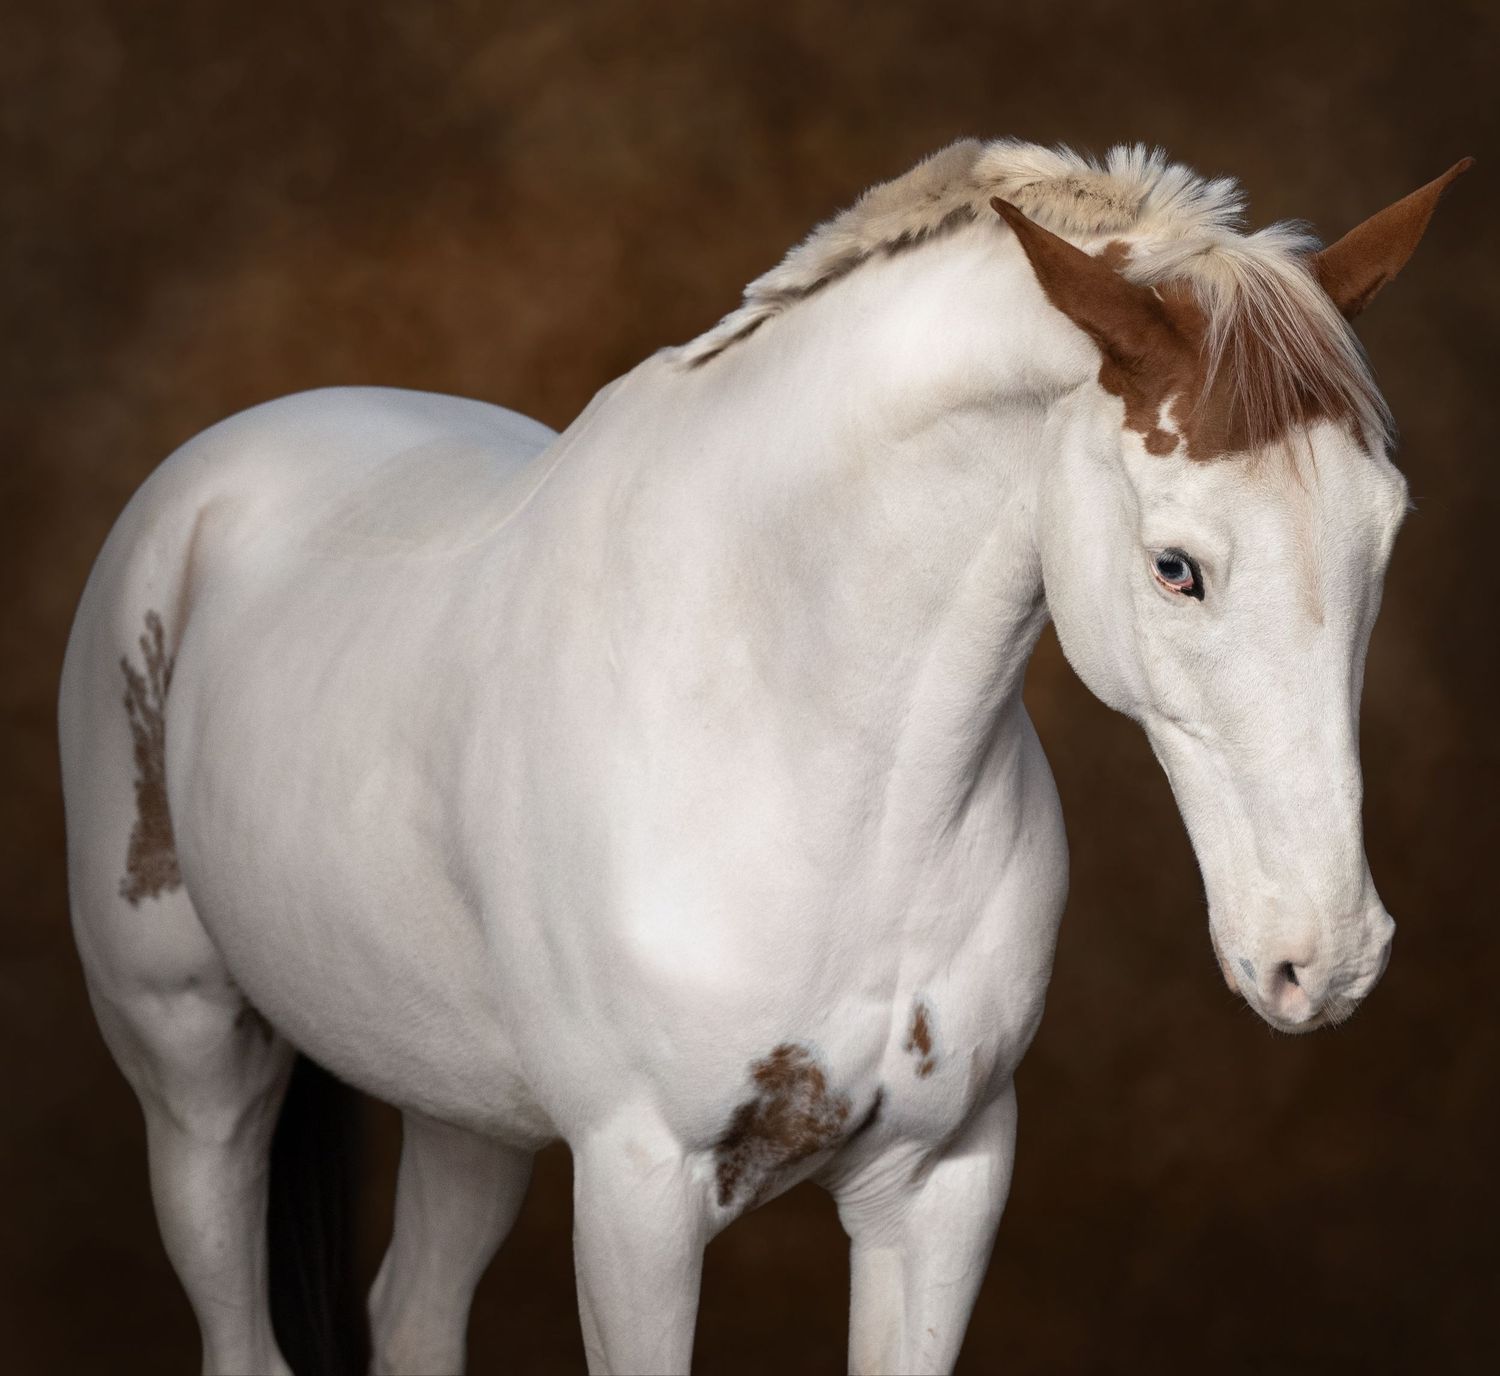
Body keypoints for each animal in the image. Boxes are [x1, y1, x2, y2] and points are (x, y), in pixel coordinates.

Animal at [59, 139, 1468, 1375]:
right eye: (1178, 565)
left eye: (1389, 531)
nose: (1329, 955)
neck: (810, 742)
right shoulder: (637, 1195)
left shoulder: (945, 1183)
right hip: (194, 1069)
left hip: (462, 1106)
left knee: (411, 1311)